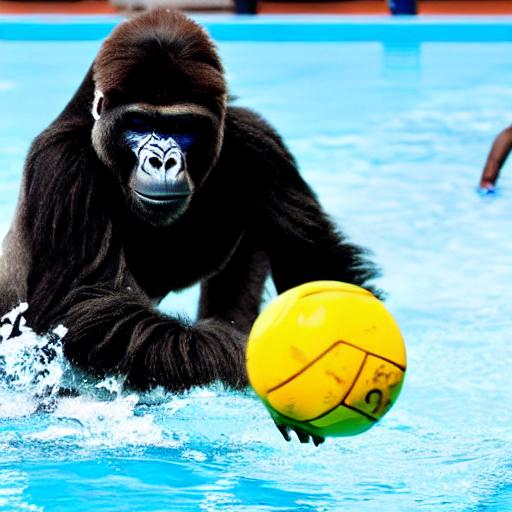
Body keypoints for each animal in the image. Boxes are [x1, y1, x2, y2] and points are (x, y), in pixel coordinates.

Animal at [0, 10, 376, 396]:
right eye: (138, 122)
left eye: (182, 126)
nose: (163, 162)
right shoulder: (63, 161)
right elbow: (82, 305)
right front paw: (246, 354)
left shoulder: (257, 137)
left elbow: (313, 262)